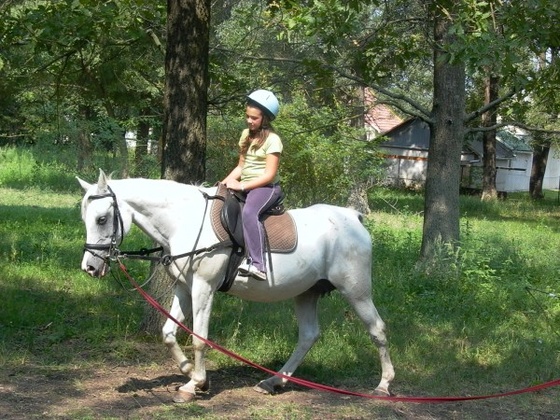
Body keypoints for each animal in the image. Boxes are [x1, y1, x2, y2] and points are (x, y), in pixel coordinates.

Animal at [77, 169, 394, 402]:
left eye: (102, 219)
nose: (89, 267)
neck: (185, 221)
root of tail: (352, 218)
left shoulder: (203, 288)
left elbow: (199, 338)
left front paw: (194, 385)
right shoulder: (184, 288)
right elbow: (168, 333)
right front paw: (191, 372)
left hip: (355, 289)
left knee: (377, 329)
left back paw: (383, 385)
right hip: (306, 292)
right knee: (308, 336)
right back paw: (273, 381)